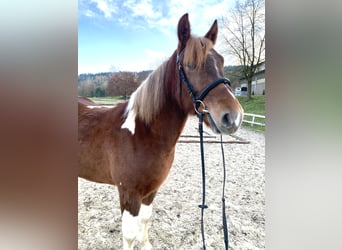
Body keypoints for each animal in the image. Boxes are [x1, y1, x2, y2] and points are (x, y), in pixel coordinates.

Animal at [78, 14, 243, 250]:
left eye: (221, 62)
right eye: (190, 64)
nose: (233, 117)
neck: (143, 134)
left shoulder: (151, 190)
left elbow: (146, 219)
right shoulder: (129, 194)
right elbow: (129, 234)